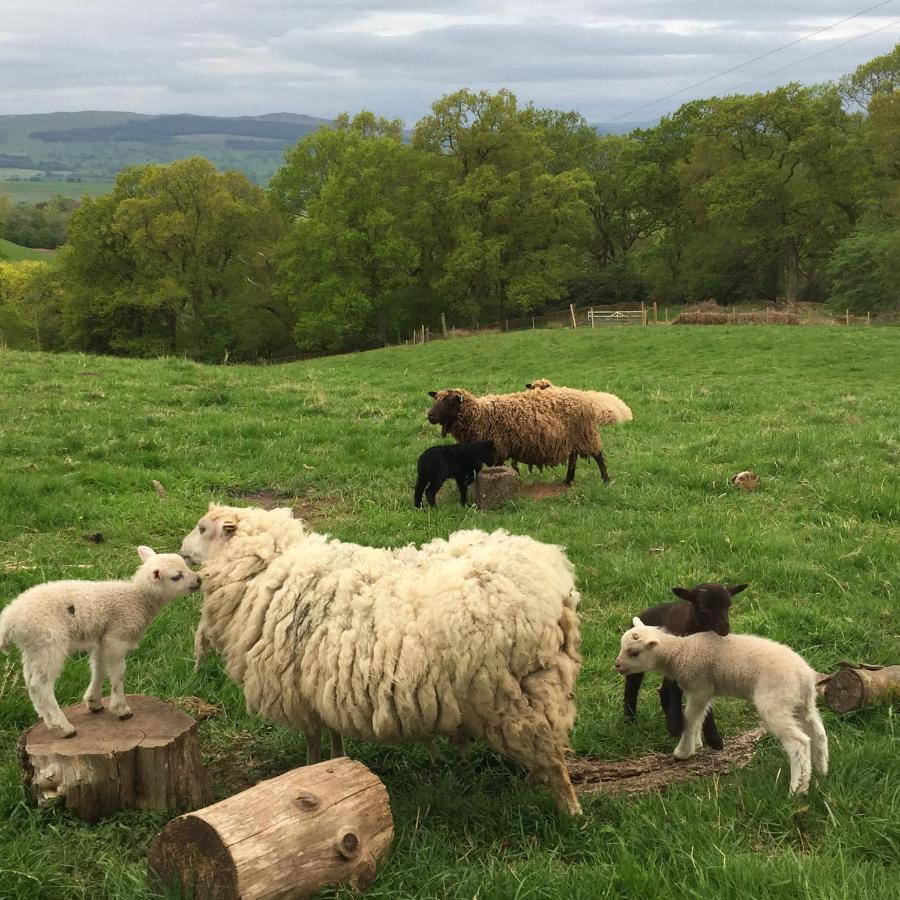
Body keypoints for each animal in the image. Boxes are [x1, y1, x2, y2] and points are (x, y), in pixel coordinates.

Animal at [1, 544, 202, 736]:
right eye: (177, 576)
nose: (199, 580)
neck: (137, 599)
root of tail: (9, 620)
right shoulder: (116, 638)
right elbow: (118, 673)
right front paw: (121, 709)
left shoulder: (102, 640)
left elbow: (99, 668)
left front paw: (94, 702)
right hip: (49, 642)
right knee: (41, 684)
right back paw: (64, 727)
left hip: (33, 647)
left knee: (31, 683)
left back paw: (49, 721)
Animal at [181, 506, 584, 816]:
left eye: (202, 528)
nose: (182, 550)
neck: (266, 568)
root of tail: (555, 584)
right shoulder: (320, 684)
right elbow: (332, 734)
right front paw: (334, 769)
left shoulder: (297, 689)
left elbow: (312, 738)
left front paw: (309, 771)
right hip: (536, 683)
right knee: (547, 741)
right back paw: (535, 781)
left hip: (515, 690)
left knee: (551, 753)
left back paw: (570, 812)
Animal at [428, 382, 632, 486]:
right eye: (436, 399)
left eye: (449, 401)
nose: (429, 416)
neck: (480, 414)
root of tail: (586, 397)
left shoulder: (497, 449)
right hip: (572, 438)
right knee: (573, 458)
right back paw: (567, 481)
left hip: (585, 434)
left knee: (599, 456)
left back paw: (606, 480)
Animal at [612, 620, 828, 796]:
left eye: (634, 653)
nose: (617, 666)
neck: (681, 653)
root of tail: (804, 676)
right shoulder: (704, 693)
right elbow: (699, 718)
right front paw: (697, 744)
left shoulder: (700, 688)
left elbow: (689, 718)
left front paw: (683, 751)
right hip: (802, 704)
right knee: (818, 733)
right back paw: (821, 769)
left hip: (775, 702)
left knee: (799, 743)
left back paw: (797, 789)